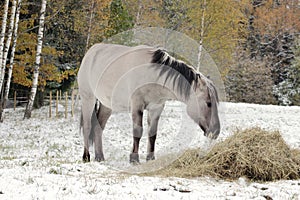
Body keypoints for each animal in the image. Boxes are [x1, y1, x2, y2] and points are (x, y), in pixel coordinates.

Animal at [77, 43, 220, 162]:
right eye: (208, 103)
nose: (216, 132)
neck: (153, 75)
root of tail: (90, 53)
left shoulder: (156, 108)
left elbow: (152, 134)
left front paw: (150, 158)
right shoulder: (137, 105)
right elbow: (138, 131)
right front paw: (134, 159)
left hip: (107, 105)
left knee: (98, 127)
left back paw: (99, 157)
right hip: (88, 99)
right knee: (87, 127)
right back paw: (86, 157)